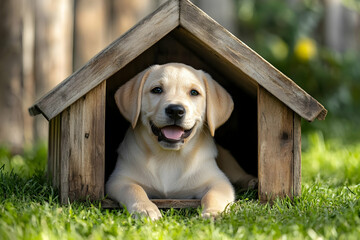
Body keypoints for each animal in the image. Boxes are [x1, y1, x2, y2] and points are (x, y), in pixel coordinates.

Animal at [106, 63, 256, 219]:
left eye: (194, 92)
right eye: (157, 90)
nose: (175, 110)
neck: (169, 156)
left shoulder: (219, 182)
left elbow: (214, 195)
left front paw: (213, 213)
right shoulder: (119, 179)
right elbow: (134, 188)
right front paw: (145, 209)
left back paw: (251, 181)